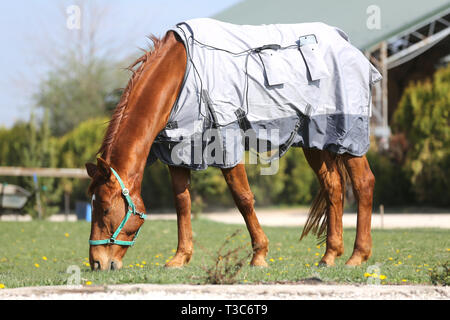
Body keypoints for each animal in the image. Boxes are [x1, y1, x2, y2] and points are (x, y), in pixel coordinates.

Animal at [86, 30, 374, 272]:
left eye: (104, 209)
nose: (97, 263)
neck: (181, 73)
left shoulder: (226, 142)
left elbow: (243, 198)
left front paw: (259, 255)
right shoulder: (178, 150)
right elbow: (182, 202)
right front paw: (180, 257)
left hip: (348, 137)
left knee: (363, 183)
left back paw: (357, 256)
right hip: (316, 142)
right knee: (333, 188)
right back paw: (329, 256)